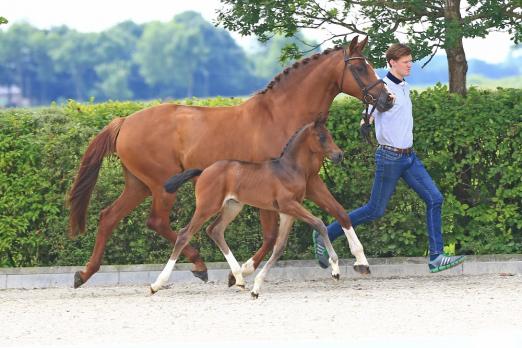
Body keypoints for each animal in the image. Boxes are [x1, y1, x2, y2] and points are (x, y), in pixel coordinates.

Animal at [149, 115, 362, 298]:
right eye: (322, 137)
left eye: (330, 135)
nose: (339, 155)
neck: (289, 169)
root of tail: (204, 171)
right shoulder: (288, 205)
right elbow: (319, 223)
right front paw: (335, 269)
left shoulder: (288, 211)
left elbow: (279, 247)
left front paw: (256, 286)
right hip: (207, 207)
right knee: (185, 234)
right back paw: (156, 284)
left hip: (232, 206)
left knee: (215, 230)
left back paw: (239, 279)